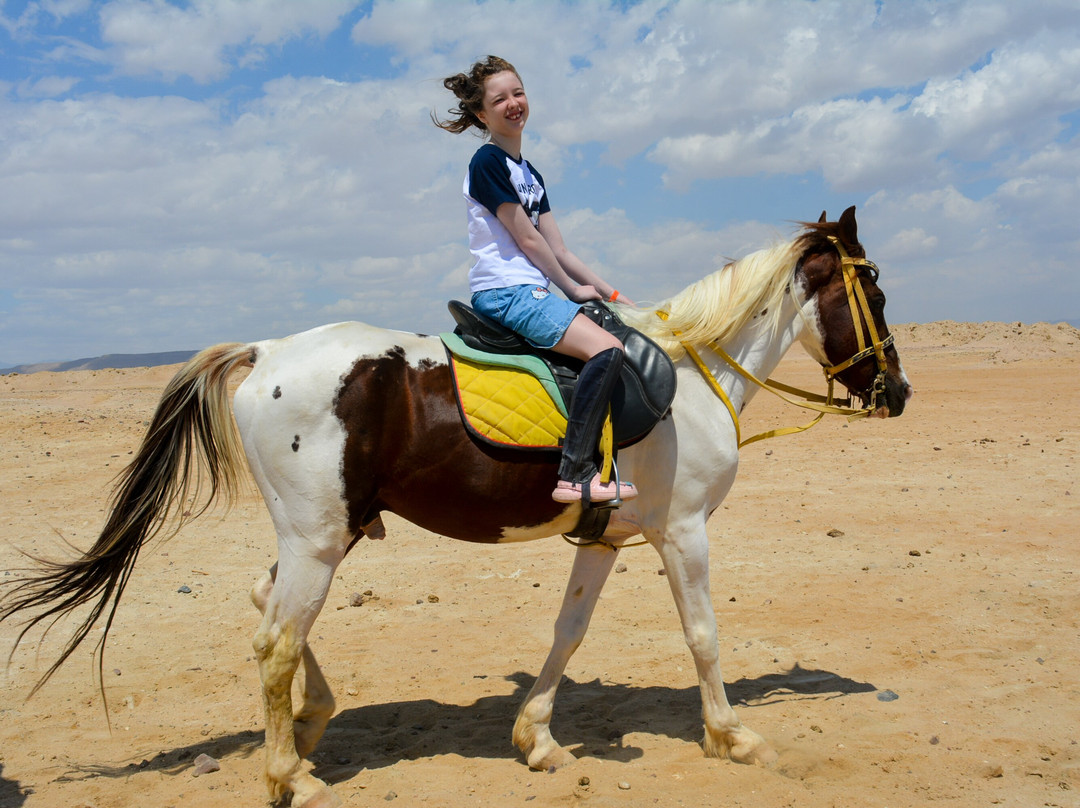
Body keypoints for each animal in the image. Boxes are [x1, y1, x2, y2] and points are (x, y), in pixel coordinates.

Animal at [1, 207, 911, 807]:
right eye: (874, 290)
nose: (897, 392)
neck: (689, 376)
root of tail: (267, 351)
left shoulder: (604, 539)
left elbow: (568, 632)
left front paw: (536, 739)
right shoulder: (681, 533)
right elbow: (703, 635)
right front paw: (732, 735)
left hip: (327, 532)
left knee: (266, 606)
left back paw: (312, 726)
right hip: (319, 540)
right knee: (274, 641)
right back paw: (289, 774)